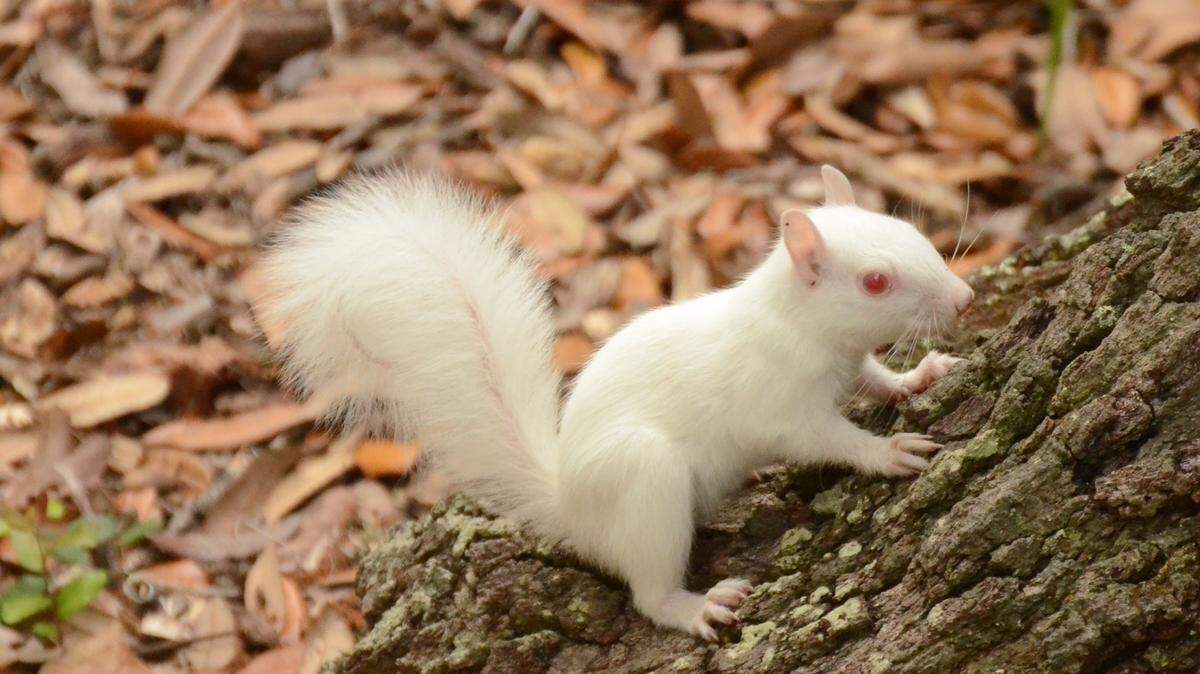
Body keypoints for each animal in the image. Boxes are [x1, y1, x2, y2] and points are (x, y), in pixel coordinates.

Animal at [259, 165, 974, 640]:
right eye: (875, 281)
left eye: (905, 227)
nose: (966, 298)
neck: (797, 324)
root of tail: (572, 507)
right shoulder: (777, 404)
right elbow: (825, 439)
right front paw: (889, 452)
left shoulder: (848, 363)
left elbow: (875, 378)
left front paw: (919, 377)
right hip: (645, 482)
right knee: (648, 593)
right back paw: (696, 606)